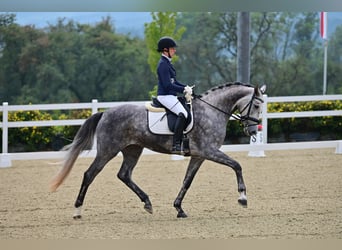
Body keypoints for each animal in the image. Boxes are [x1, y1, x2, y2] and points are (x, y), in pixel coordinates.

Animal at [49, 82, 266, 219]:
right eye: (256, 105)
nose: (253, 131)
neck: (212, 110)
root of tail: (105, 113)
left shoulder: (199, 156)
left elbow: (187, 181)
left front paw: (179, 209)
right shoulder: (209, 151)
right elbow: (237, 165)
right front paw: (243, 198)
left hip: (133, 150)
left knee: (124, 174)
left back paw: (147, 203)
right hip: (107, 151)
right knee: (90, 174)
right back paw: (77, 211)